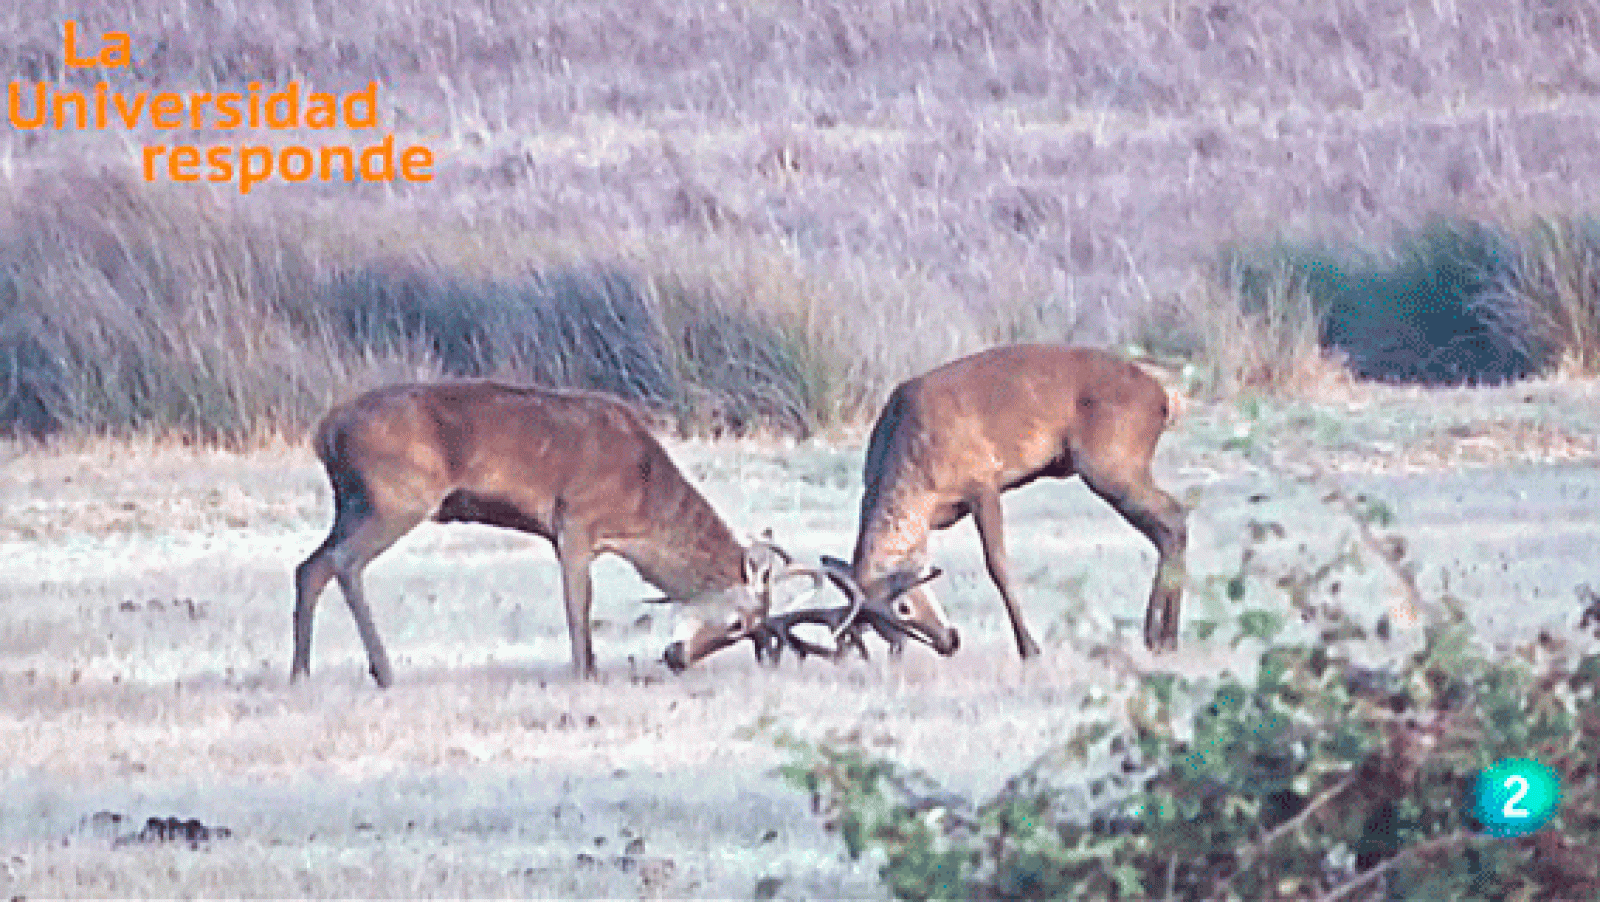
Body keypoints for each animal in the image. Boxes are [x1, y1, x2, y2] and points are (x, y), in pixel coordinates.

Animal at [286, 379, 864, 684]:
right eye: (741, 623)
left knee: (309, 565)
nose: (678, 658)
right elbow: (577, 602)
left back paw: (301, 672)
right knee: (343, 563)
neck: (641, 501)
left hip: (351, 503)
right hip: (397, 497)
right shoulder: (575, 520)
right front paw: (585, 669)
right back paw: (383, 670)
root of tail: (326, 431)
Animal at [825, 345, 1190, 662]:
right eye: (874, 622)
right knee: (1167, 529)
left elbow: (998, 565)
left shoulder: (983, 483)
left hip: (1113, 465)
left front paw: (1029, 649)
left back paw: (1162, 638)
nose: (947, 642)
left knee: (1174, 517)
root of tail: (1162, 397)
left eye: (903, 607)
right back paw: (1161, 637)